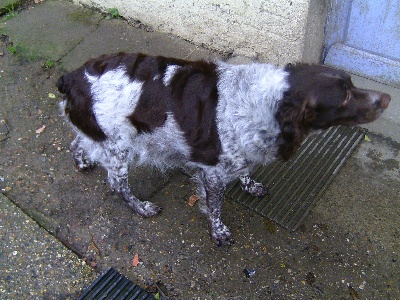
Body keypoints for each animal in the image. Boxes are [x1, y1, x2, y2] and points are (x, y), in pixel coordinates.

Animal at [57, 52, 390, 246]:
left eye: (352, 83)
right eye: (344, 97)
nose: (386, 99)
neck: (266, 101)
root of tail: (73, 77)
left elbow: (245, 171)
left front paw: (250, 185)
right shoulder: (214, 175)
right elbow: (215, 208)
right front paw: (219, 232)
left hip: (99, 136)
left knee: (76, 142)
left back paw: (82, 163)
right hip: (118, 147)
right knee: (117, 184)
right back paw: (140, 206)